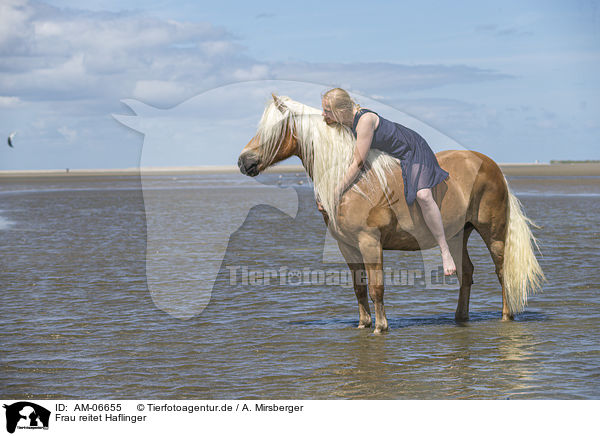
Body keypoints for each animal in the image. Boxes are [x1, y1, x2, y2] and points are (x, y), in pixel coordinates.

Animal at [238, 93, 544, 334]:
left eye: (272, 130)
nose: (243, 161)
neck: (354, 181)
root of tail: (489, 164)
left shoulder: (370, 242)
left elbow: (376, 287)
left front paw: (380, 327)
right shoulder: (348, 246)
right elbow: (359, 287)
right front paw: (363, 324)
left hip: (492, 233)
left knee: (502, 272)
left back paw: (506, 316)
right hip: (458, 234)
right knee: (466, 272)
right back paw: (460, 318)